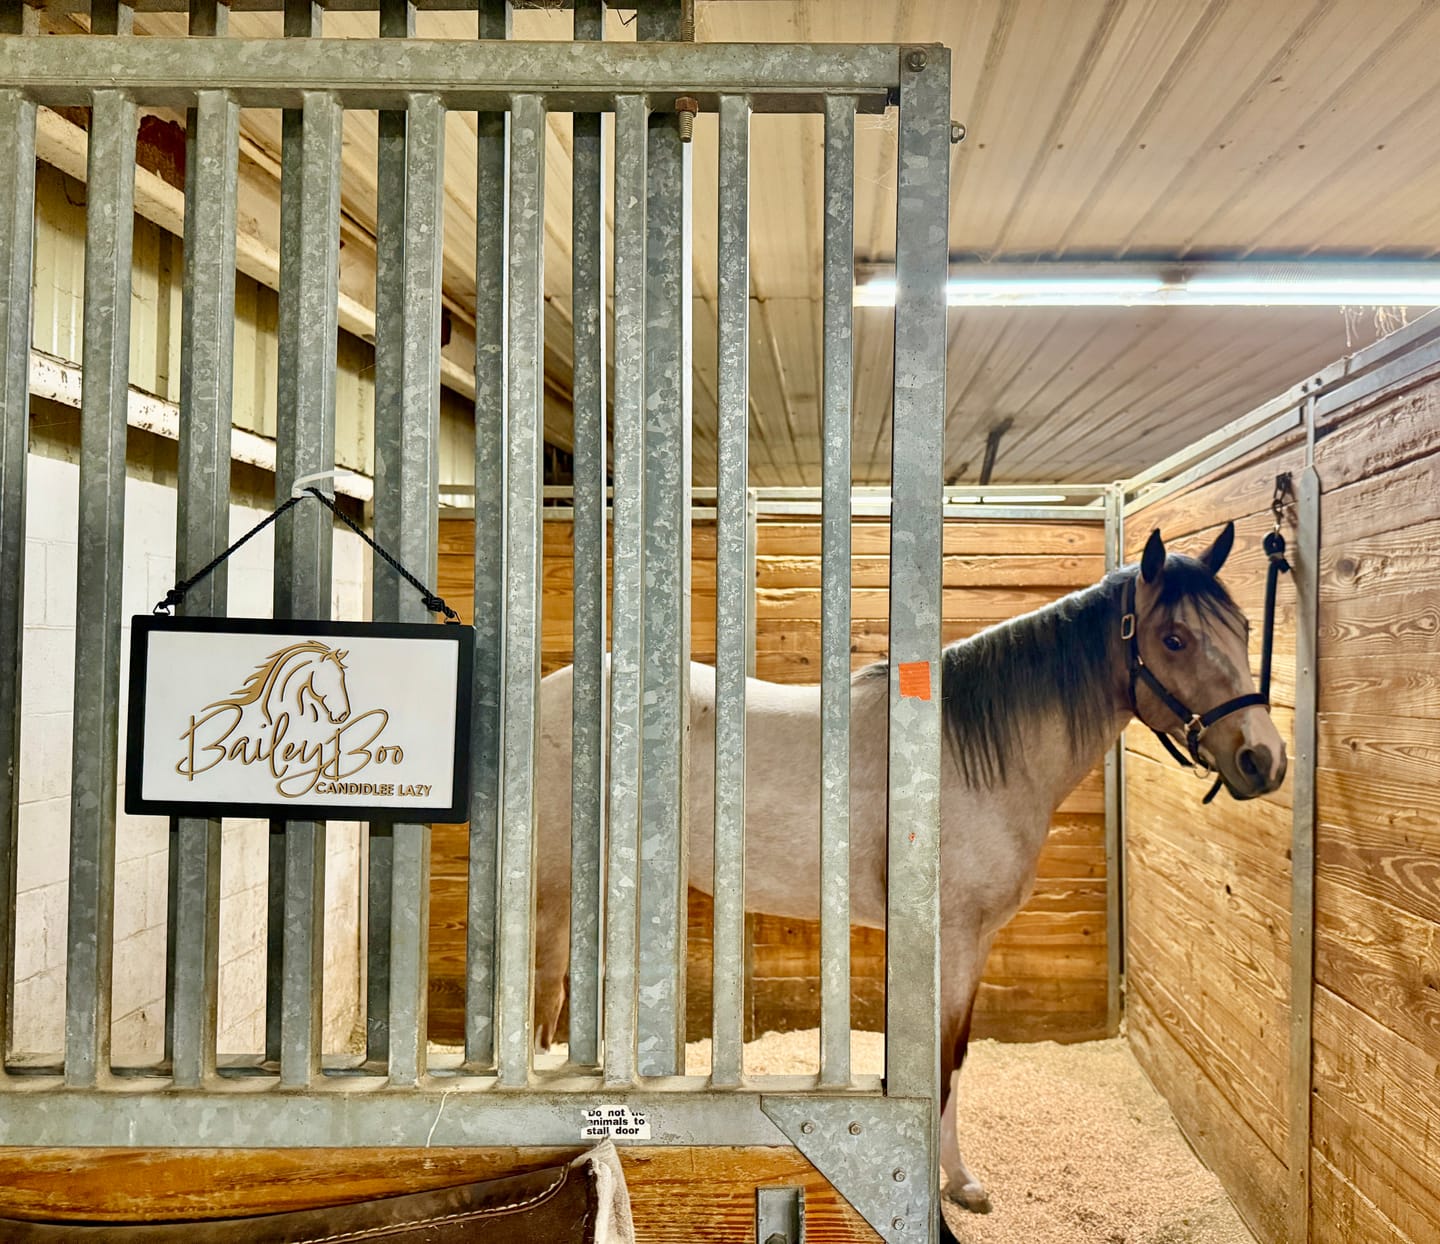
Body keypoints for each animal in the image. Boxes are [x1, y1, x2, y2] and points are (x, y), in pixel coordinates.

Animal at [530, 523, 1287, 1224]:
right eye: (1175, 640)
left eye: (1247, 628)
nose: (1264, 760)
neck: (969, 759)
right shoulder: (955, 939)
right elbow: (946, 1060)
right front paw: (953, 1188)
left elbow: (953, 1056)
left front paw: (959, 1180)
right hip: (555, 893)